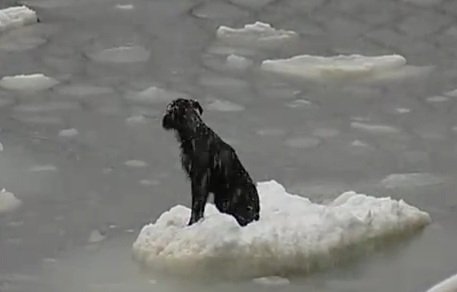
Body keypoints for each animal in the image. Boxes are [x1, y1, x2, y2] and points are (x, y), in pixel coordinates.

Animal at [162, 97, 258, 226]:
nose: (164, 119)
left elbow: (197, 206)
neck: (194, 133)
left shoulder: (200, 179)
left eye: (172, 109)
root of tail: (256, 209)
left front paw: (192, 224)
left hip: (228, 203)